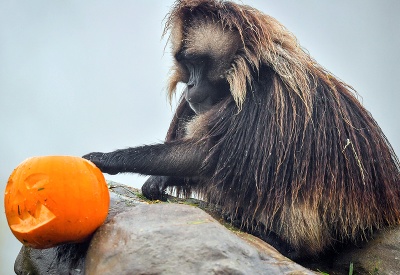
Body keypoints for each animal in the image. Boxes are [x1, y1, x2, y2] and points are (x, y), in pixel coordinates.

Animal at [82, 0, 400, 262]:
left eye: (197, 63)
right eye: (187, 65)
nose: (190, 85)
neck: (247, 68)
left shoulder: (266, 96)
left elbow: (208, 156)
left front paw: (105, 159)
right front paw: (158, 180)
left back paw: (282, 242)